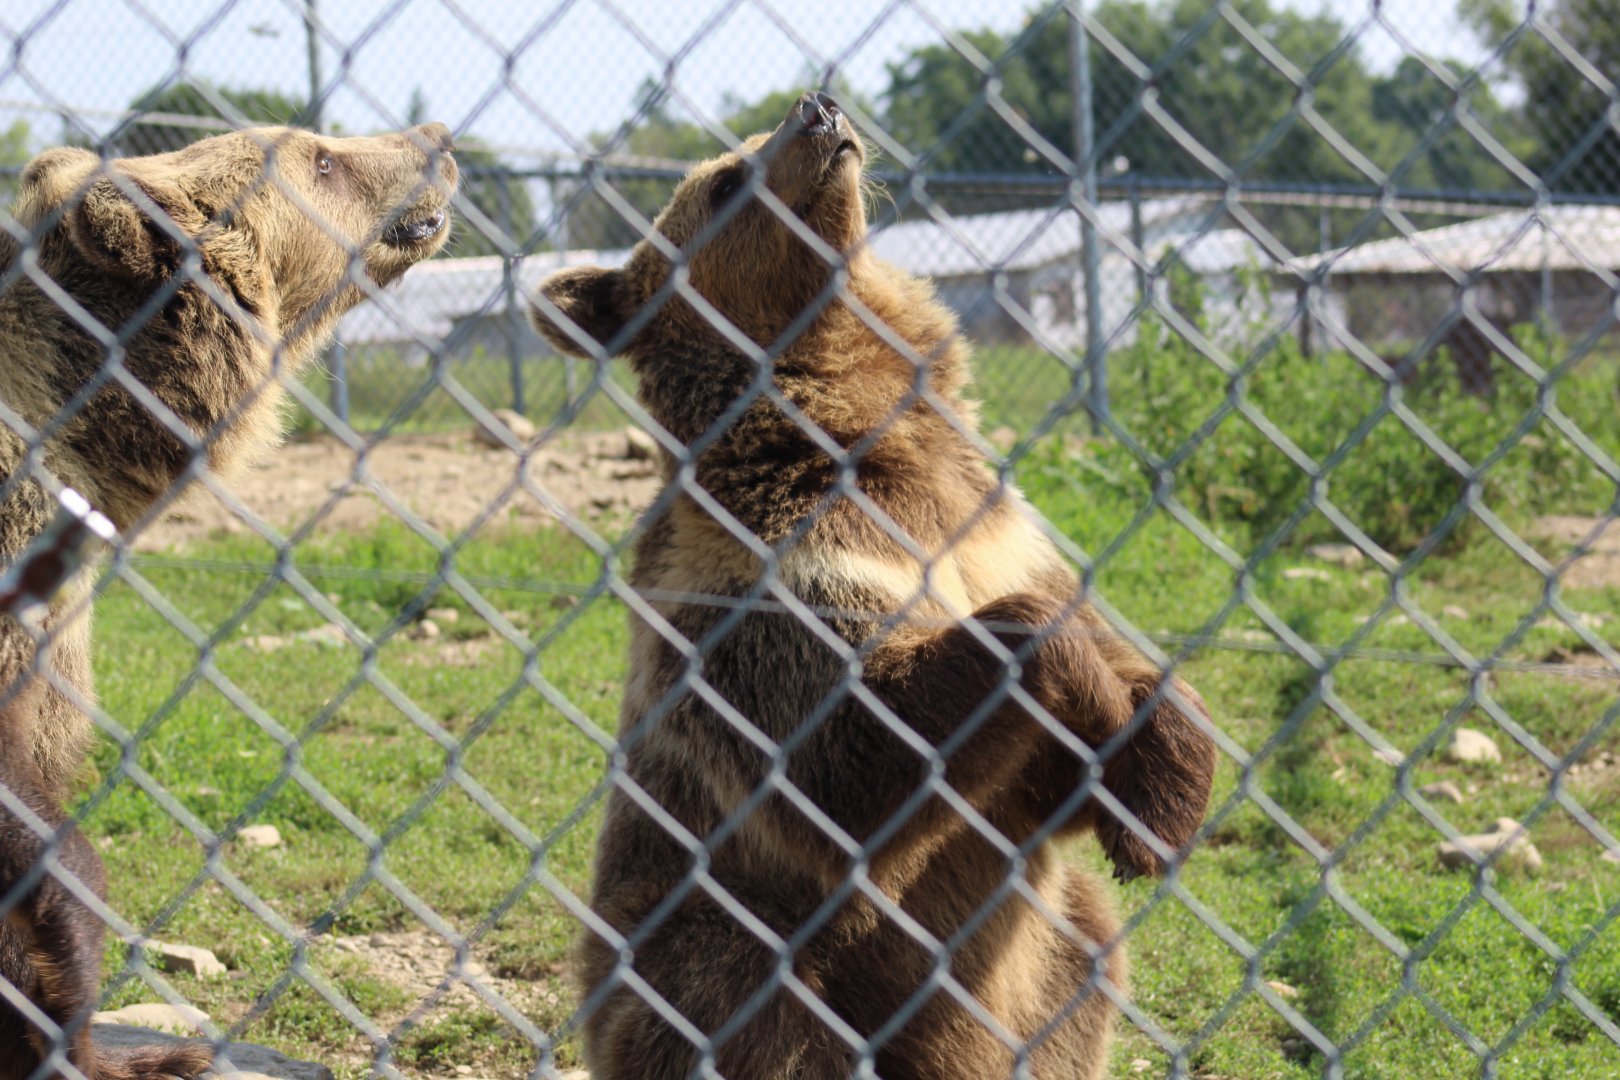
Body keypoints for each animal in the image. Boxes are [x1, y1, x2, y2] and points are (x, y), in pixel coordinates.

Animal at [529, 92, 1218, 1079]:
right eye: (727, 179)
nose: (817, 110)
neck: (853, 431)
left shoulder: (990, 529)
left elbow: (1071, 751)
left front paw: (1157, 800)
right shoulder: (772, 585)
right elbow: (846, 751)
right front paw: (1076, 679)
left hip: (1042, 955)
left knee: (1085, 950)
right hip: (702, 930)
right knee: (739, 993)